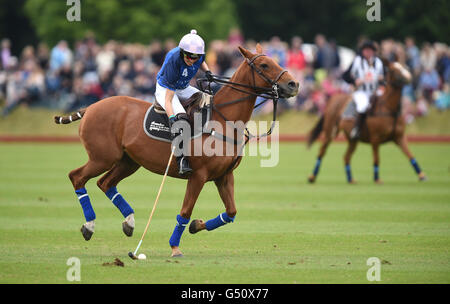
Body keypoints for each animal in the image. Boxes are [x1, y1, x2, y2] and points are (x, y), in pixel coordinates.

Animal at [53, 44, 298, 256]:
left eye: (275, 60)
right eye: (264, 65)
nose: (294, 84)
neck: (223, 119)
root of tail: (90, 107)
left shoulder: (224, 176)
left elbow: (231, 212)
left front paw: (196, 225)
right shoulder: (199, 175)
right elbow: (185, 211)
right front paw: (175, 247)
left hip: (129, 161)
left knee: (105, 183)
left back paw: (129, 222)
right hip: (102, 157)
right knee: (77, 177)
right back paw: (90, 225)